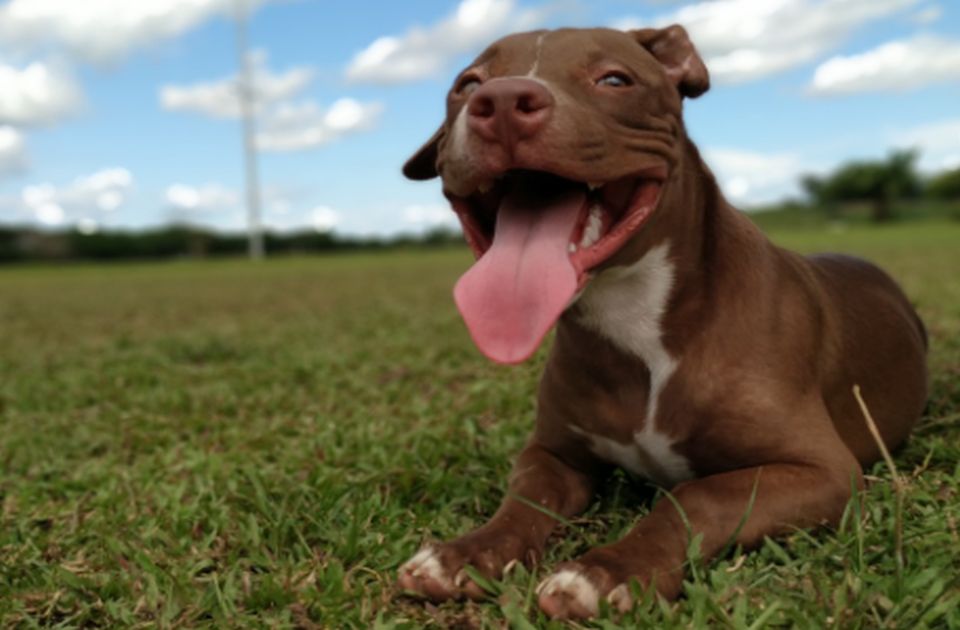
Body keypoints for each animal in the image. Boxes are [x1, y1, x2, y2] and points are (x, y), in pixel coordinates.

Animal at [394, 25, 928, 624]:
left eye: (614, 80)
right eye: (467, 85)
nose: (503, 102)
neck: (634, 319)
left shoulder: (823, 470)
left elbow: (697, 496)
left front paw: (607, 570)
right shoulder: (553, 453)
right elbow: (523, 501)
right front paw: (465, 552)